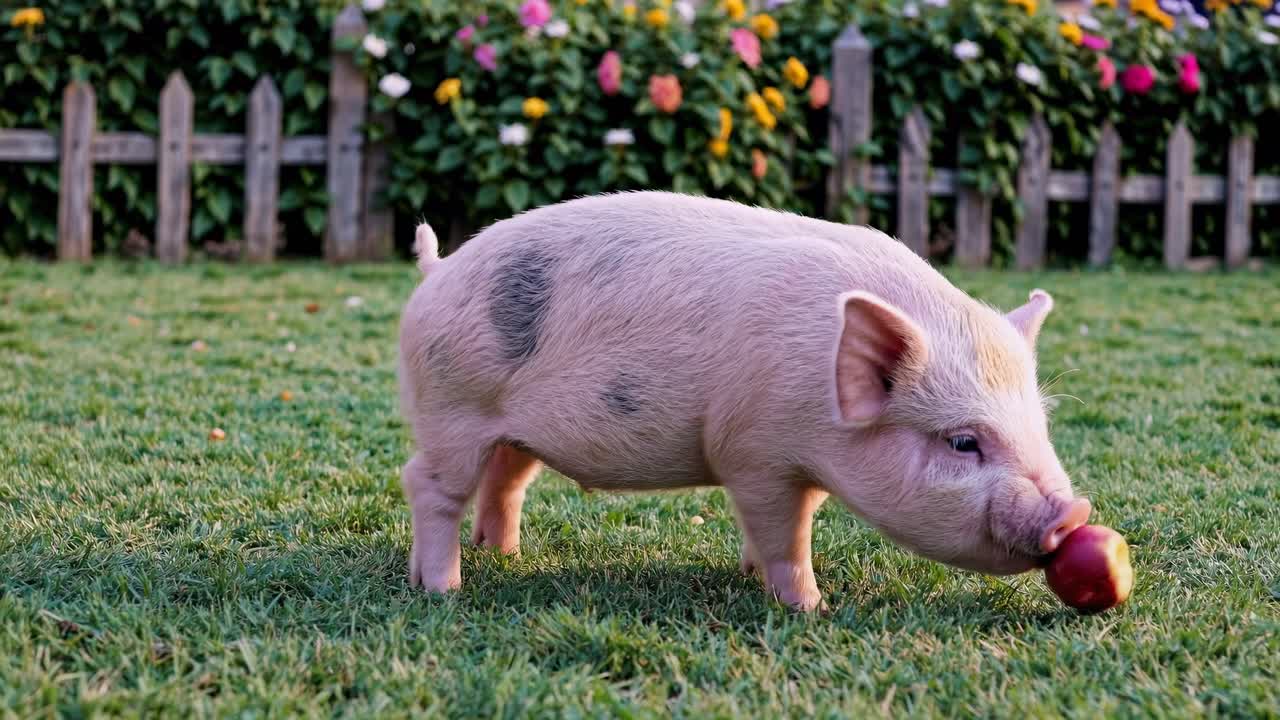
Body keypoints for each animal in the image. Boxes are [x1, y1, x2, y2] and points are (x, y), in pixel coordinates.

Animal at [397, 191, 1092, 611]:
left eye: (1041, 428)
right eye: (963, 441)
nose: (1076, 512)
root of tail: (436, 273)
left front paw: (755, 578)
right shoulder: (755, 455)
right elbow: (785, 531)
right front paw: (811, 608)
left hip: (509, 427)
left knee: (506, 479)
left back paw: (505, 555)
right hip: (451, 407)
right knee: (429, 484)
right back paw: (444, 590)